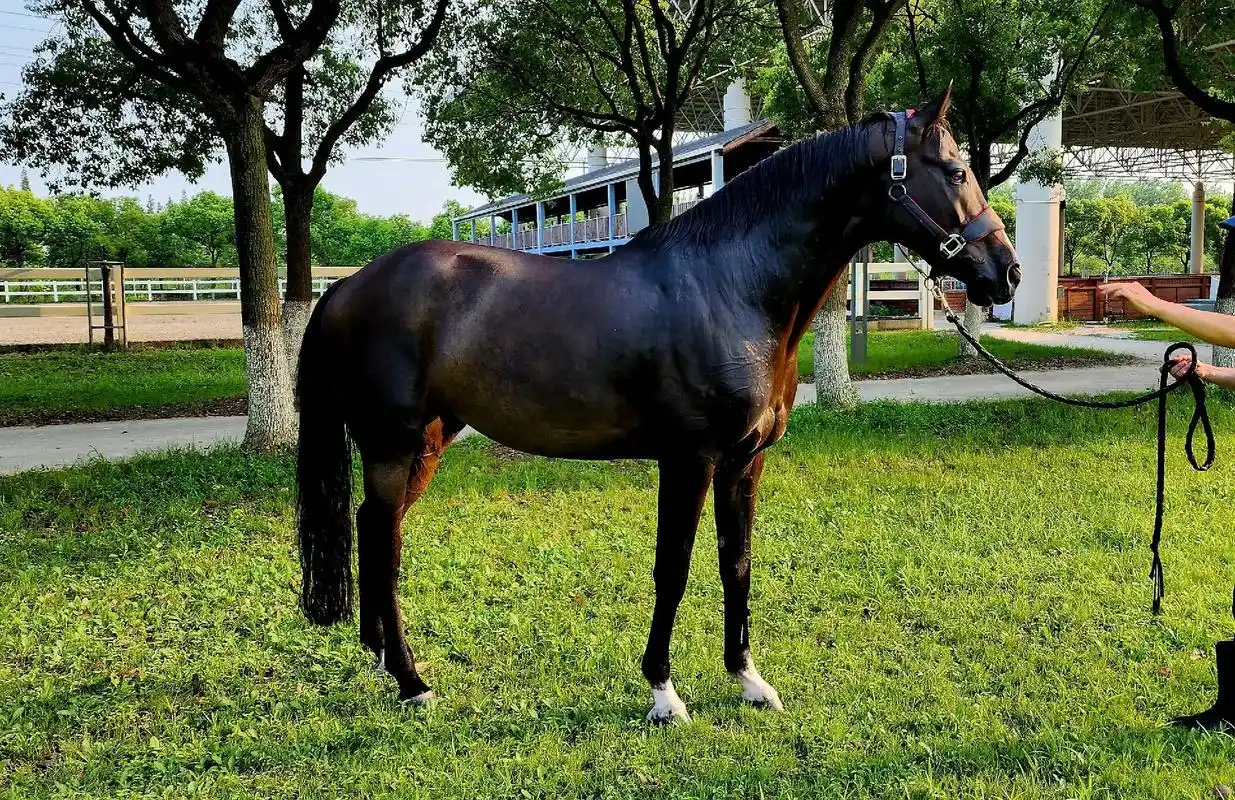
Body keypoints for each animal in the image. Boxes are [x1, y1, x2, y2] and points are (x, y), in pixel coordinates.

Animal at [294, 86, 1020, 724]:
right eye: (955, 171)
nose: (1005, 272)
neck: (731, 286)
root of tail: (348, 288)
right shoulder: (688, 459)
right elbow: (672, 569)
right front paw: (663, 694)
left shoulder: (744, 462)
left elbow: (736, 564)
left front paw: (748, 679)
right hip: (394, 445)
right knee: (383, 542)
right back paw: (412, 681)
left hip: (427, 442)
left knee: (374, 529)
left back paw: (383, 658)